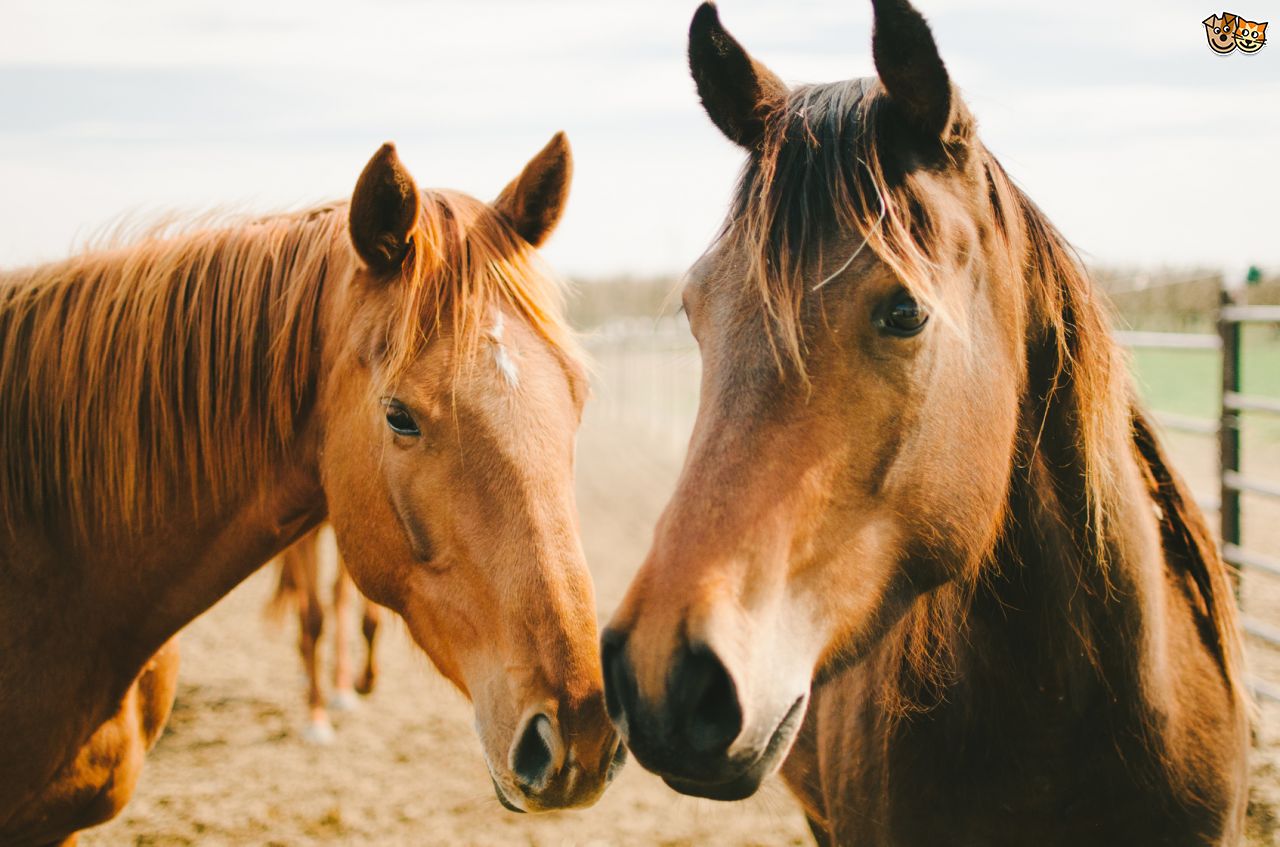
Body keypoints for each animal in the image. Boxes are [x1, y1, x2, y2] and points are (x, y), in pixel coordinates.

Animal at [268, 524, 383, 744]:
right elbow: (313, 620)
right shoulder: (304, 540)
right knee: (302, 599)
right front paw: (317, 720)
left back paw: (342, 687)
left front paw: (365, 683)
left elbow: (371, 620)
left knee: (338, 596)